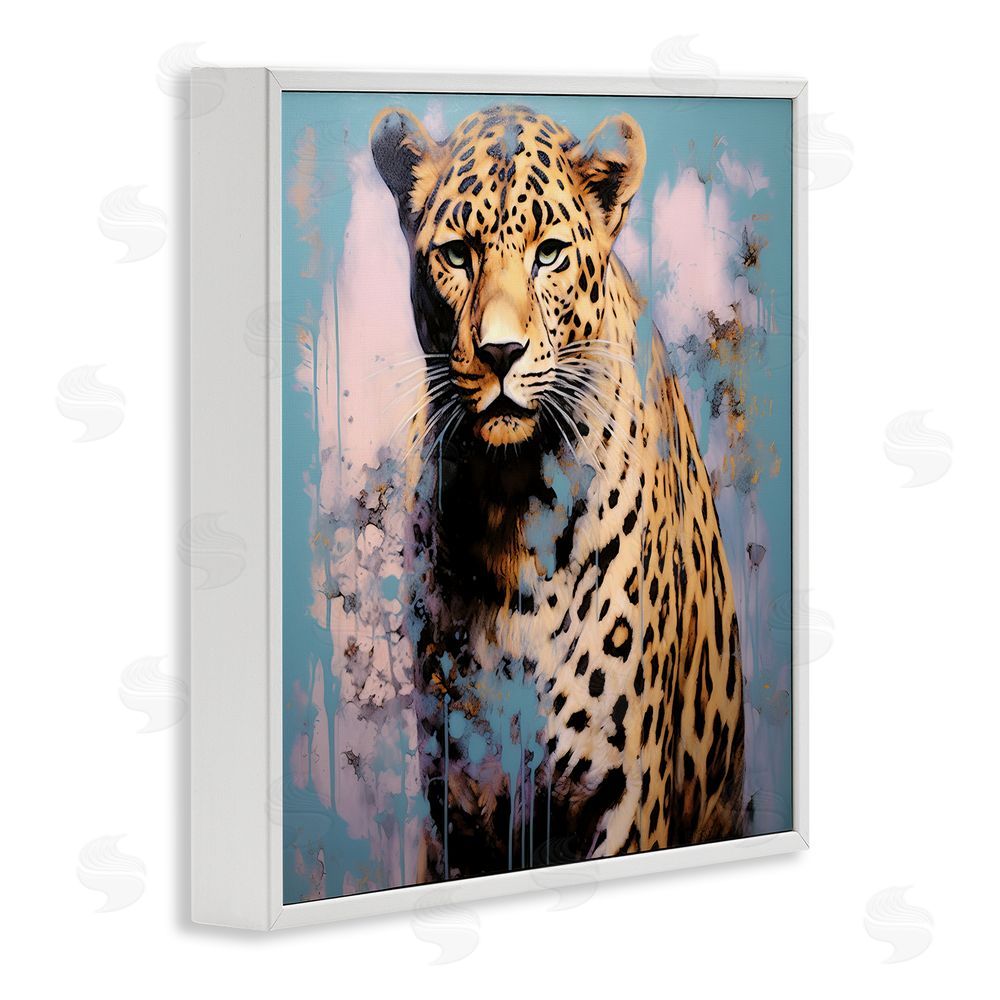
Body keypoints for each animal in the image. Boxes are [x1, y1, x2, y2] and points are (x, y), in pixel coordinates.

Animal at [371, 103, 746, 881]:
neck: (508, 505)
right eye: (457, 254)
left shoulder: (619, 795)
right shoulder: (457, 806)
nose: (500, 353)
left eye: (548, 254)